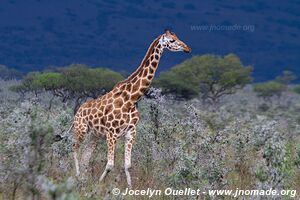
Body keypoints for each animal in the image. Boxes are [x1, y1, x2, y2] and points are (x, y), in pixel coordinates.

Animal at [71, 29, 191, 188]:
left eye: (177, 37)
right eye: (172, 40)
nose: (187, 48)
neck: (132, 98)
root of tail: (78, 111)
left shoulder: (131, 132)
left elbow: (128, 165)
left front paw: (130, 187)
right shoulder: (112, 133)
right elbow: (110, 165)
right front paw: (99, 184)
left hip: (94, 135)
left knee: (85, 155)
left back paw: (83, 179)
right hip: (82, 129)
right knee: (74, 148)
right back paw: (77, 175)